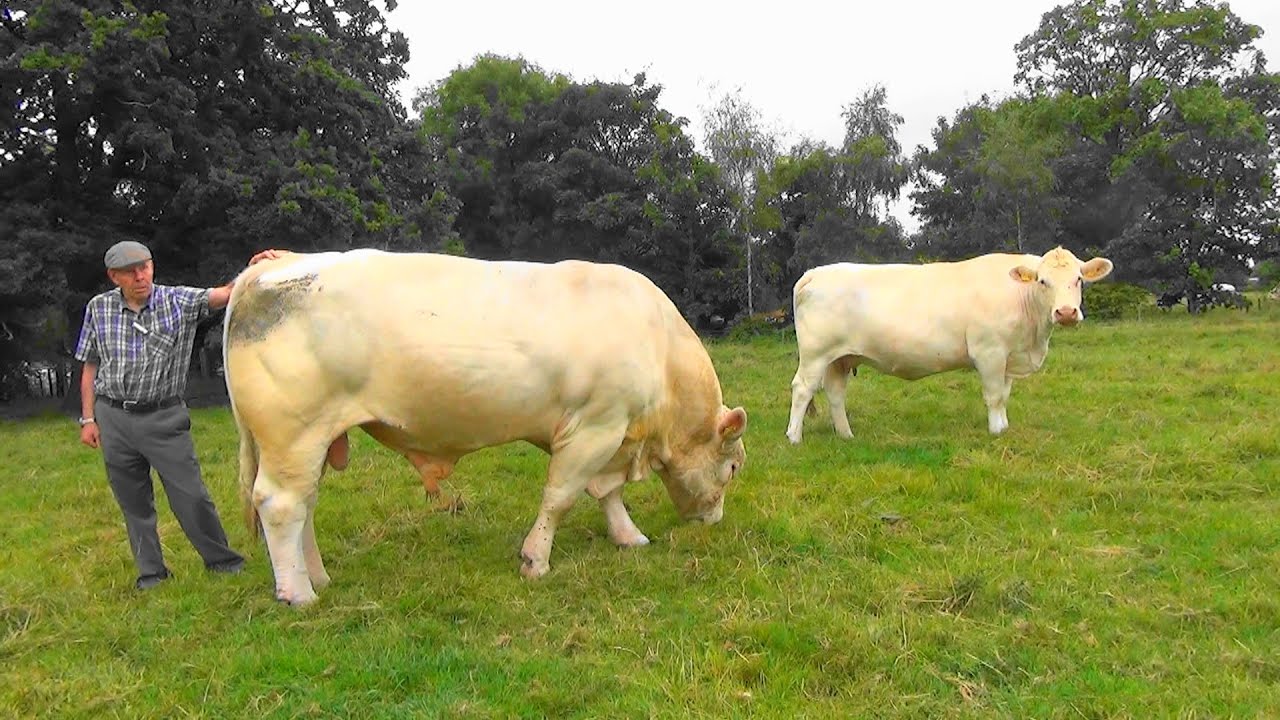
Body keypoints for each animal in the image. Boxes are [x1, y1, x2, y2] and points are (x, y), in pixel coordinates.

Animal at [223, 250, 748, 605]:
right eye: (733, 467)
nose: (715, 520)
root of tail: (274, 266)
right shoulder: (596, 425)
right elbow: (561, 496)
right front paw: (536, 559)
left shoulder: (610, 435)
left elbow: (607, 493)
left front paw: (628, 536)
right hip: (293, 434)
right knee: (281, 505)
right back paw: (298, 593)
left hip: (316, 439)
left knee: (305, 504)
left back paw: (317, 577)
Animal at [785, 247, 1113, 443]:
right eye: (1043, 281)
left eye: (1079, 279)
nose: (1066, 313)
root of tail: (815, 272)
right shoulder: (990, 352)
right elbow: (994, 396)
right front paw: (996, 432)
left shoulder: (1008, 356)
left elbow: (1004, 395)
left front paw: (1004, 427)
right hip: (815, 354)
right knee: (802, 389)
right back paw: (794, 438)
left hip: (839, 358)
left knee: (835, 393)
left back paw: (846, 435)